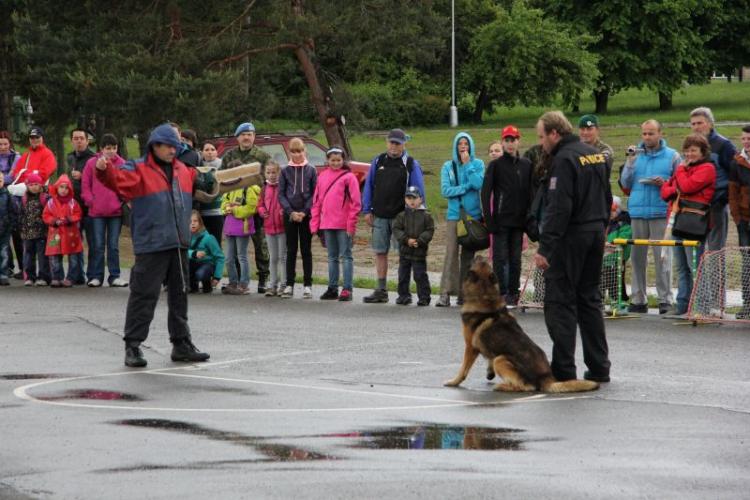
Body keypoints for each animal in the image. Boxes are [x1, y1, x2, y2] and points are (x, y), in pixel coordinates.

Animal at [446, 258, 600, 394]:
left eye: (477, 261)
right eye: (482, 262)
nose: (479, 254)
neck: (486, 297)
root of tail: (546, 378)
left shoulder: (470, 348)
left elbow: (463, 370)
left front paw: (454, 382)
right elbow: (489, 357)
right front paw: (489, 372)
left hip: (501, 359)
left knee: (525, 386)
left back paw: (503, 387)